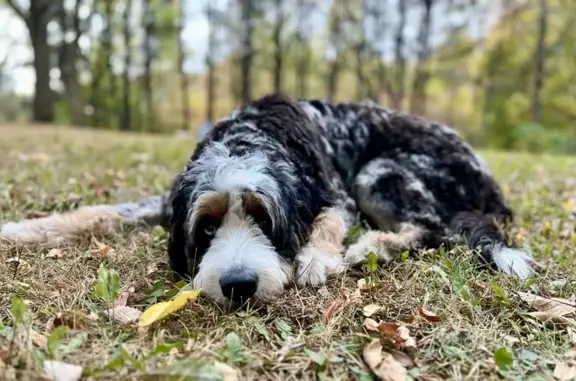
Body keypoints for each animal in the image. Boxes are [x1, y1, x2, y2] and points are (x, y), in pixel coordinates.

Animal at [0, 94, 532, 306]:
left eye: (265, 220)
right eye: (207, 226)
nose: (239, 284)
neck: (251, 139)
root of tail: (488, 179)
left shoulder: (336, 195)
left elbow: (327, 222)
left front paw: (317, 258)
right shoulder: (168, 199)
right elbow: (97, 213)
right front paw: (23, 230)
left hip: (377, 173)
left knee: (429, 227)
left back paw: (368, 248)